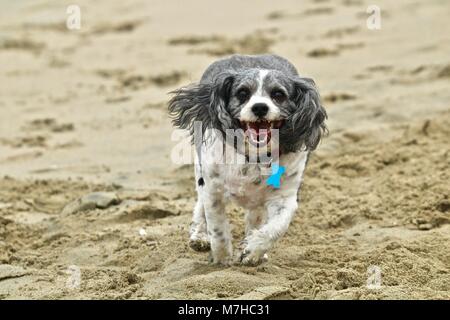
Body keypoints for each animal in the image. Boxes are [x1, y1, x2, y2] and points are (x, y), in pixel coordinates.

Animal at [169, 54, 326, 264]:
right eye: (242, 93)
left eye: (278, 94)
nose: (259, 107)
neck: (255, 156)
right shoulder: (213, 189)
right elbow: (217, 227)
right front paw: (222, 258)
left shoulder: (285, 197)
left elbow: (276, 228)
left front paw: (252, 251)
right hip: (200, 171)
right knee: (200, 204)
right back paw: (199, 236)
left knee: (255, 217)